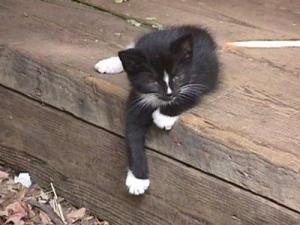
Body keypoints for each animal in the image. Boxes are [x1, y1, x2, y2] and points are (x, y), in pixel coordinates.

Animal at [94, 25, 218, 195]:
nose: (169, 94)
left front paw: (163, 117)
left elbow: (185, 97)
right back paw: (109, 64)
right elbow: (132, 134)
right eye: (152, 81)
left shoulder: (196, 81)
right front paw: (138, 179)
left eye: (177, 77)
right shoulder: (137, 99)